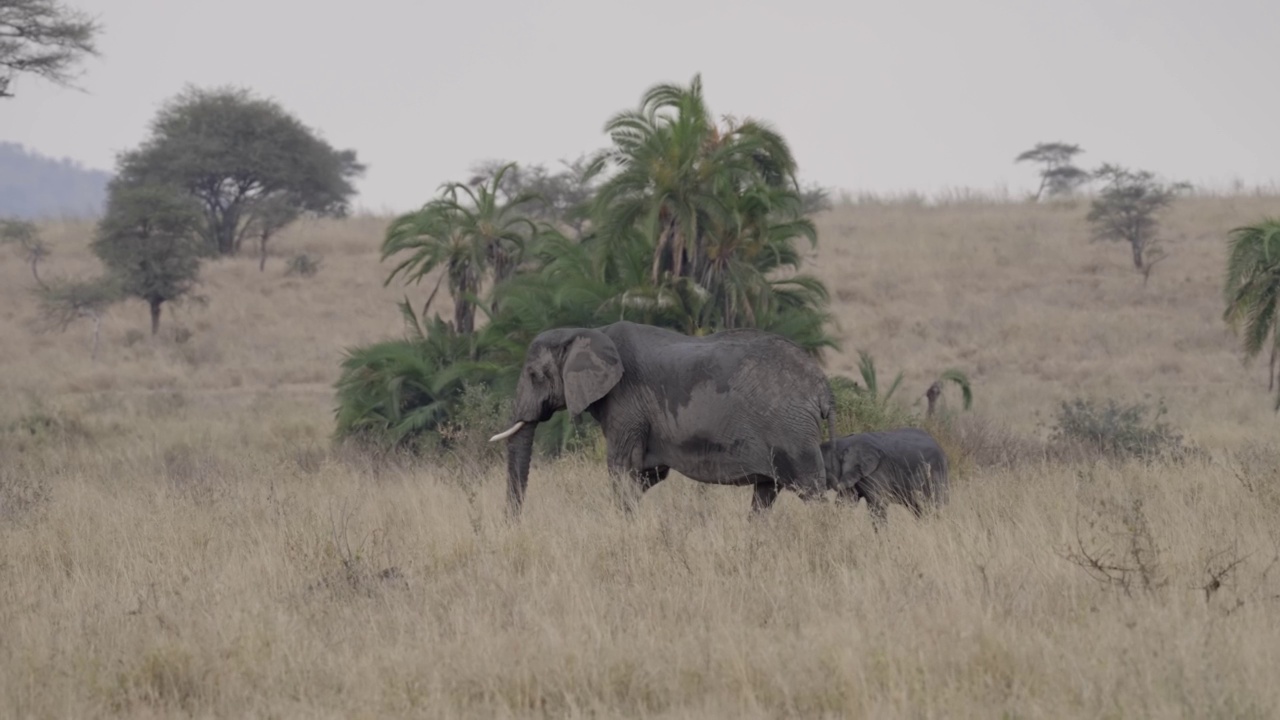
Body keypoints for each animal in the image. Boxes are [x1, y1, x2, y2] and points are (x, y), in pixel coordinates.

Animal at [488, 319, 839, 515]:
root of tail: (823, 387)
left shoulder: (625, 402)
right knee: (765, 494)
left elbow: (621, 468)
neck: (586, 332)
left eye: (534, 375)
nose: (513, 523)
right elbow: (647, 474)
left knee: (811, 491)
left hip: (791, 431)